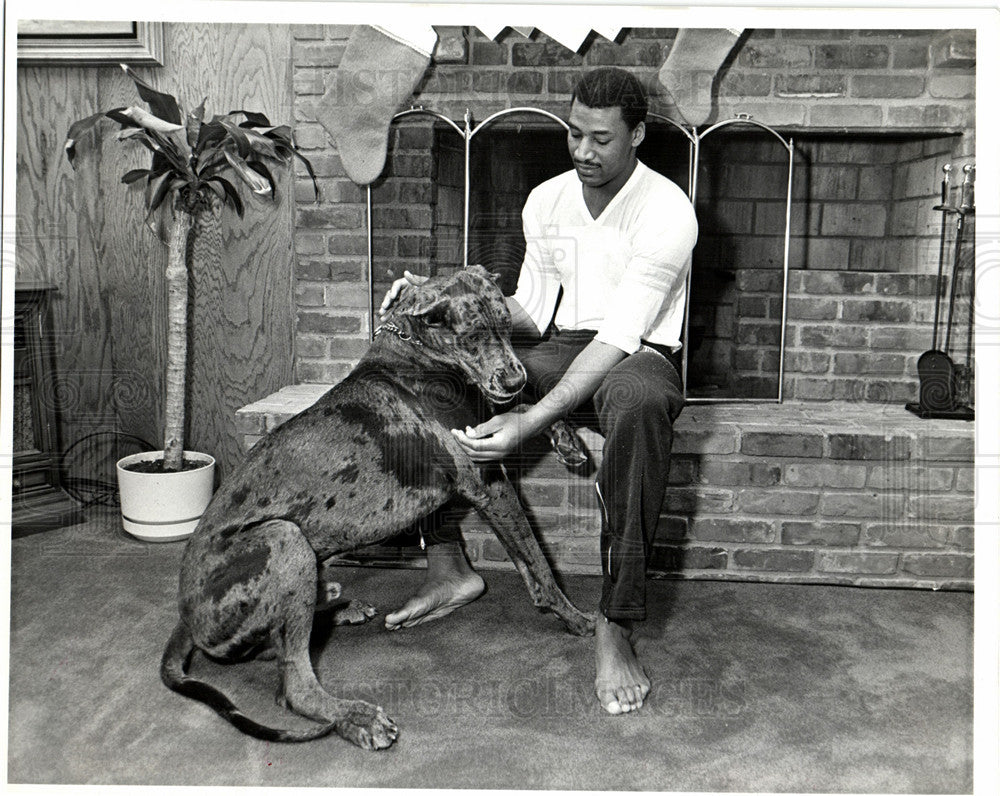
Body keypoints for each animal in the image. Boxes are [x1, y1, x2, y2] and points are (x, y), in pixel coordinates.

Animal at [158, 268, 592, 752]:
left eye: (506, 325)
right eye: (473, 334)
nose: (513, 378)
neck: (421, 348)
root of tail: (185, 617)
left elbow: (527, 406)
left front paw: (566, 438)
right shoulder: (489, 482)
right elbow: (537, 562)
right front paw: (575, 617)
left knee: (279, 643)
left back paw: (336, 603)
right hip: (282, 537)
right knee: (293, 684)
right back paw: (356, 715)